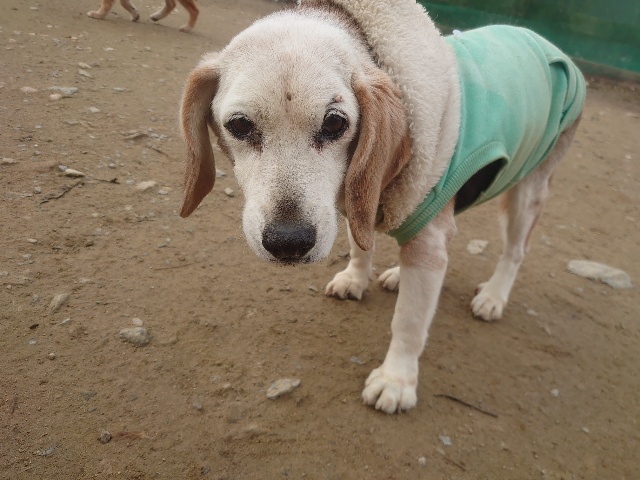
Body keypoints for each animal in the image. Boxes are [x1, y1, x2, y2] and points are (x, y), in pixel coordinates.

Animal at [177, 0, 585, 413]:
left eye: (334, 123)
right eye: (240, 125)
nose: (288, 242)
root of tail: (547, 43)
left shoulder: (426, 238)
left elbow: (409, 321)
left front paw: (396, 380)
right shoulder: (356, 203)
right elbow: (362, 245)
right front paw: (356, 279)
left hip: (527, 192)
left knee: (515, 251)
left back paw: (493, 296)